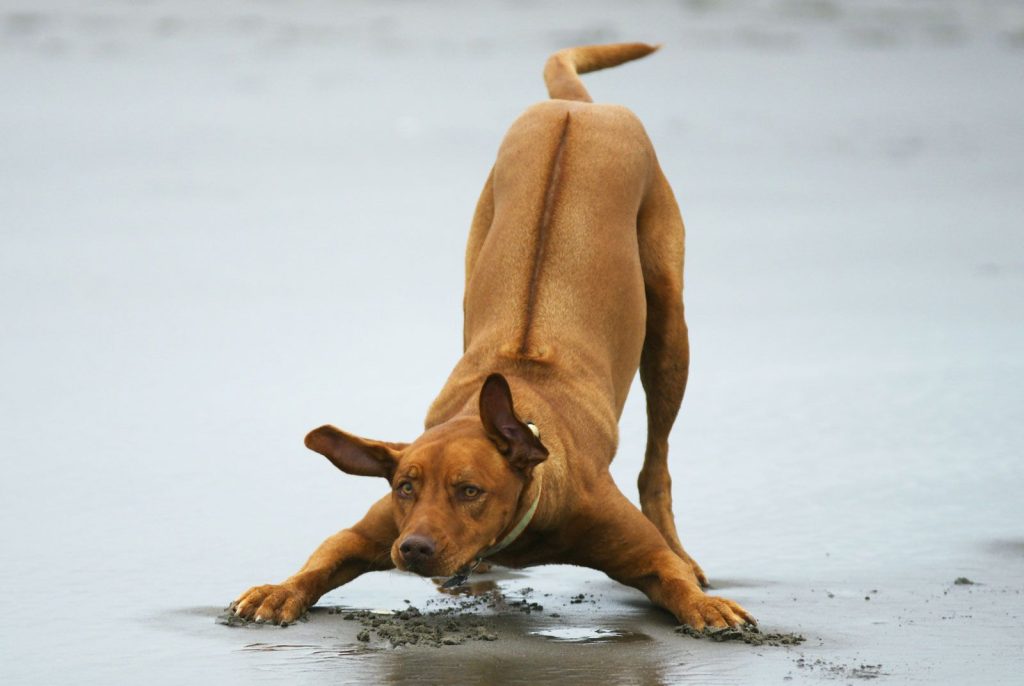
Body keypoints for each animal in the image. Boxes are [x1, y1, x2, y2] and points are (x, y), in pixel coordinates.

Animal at [235, 43, 757, 630]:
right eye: (405, 487)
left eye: (470, 491)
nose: (413, 548)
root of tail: (579, 109)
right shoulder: (371, 529)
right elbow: (322, 557)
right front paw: (278, 590)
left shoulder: (635, 546)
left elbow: (668, 572)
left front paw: (703, 602)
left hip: (670, 325)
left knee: (658, 461)